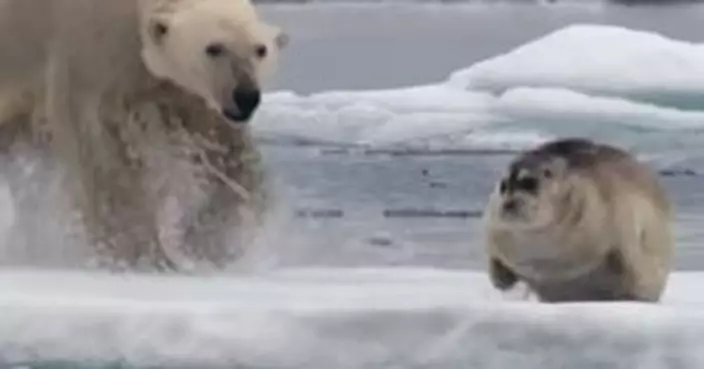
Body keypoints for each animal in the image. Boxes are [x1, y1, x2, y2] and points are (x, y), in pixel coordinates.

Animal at [0, 0, 288, 270]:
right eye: (214, 48)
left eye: (260, 49)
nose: (246, 96)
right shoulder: (93, 55)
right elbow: (100, 157)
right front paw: (141, 253)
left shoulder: (186, 95)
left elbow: (223, 149)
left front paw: (219, 236)